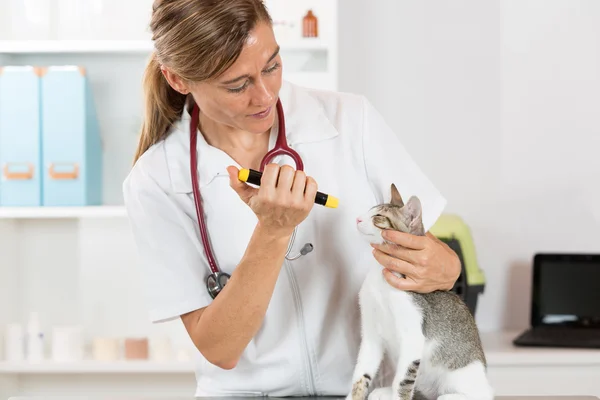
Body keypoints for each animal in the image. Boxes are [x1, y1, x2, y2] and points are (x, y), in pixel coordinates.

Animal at [346, 184, 492, 400]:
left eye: (378, 217)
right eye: (369, 210)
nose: (357, 218)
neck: (381, 282)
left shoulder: (413, 337)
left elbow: (402, 381)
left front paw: (398, 395)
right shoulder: (371, 336)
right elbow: (361, 376)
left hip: (462, 376)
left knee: (480, 394)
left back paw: (448, 396)